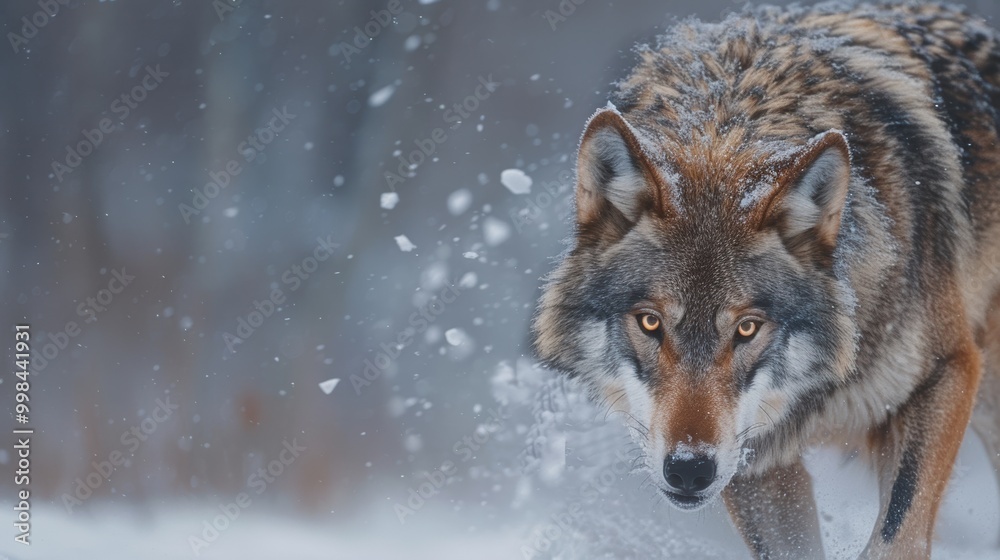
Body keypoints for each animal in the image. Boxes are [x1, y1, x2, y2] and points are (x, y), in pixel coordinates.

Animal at [531, 2, 1000, 558]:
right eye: (649, 323)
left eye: (747, 328)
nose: (689, 471)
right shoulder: (752, 461)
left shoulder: (947, 371)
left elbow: (896, 534)